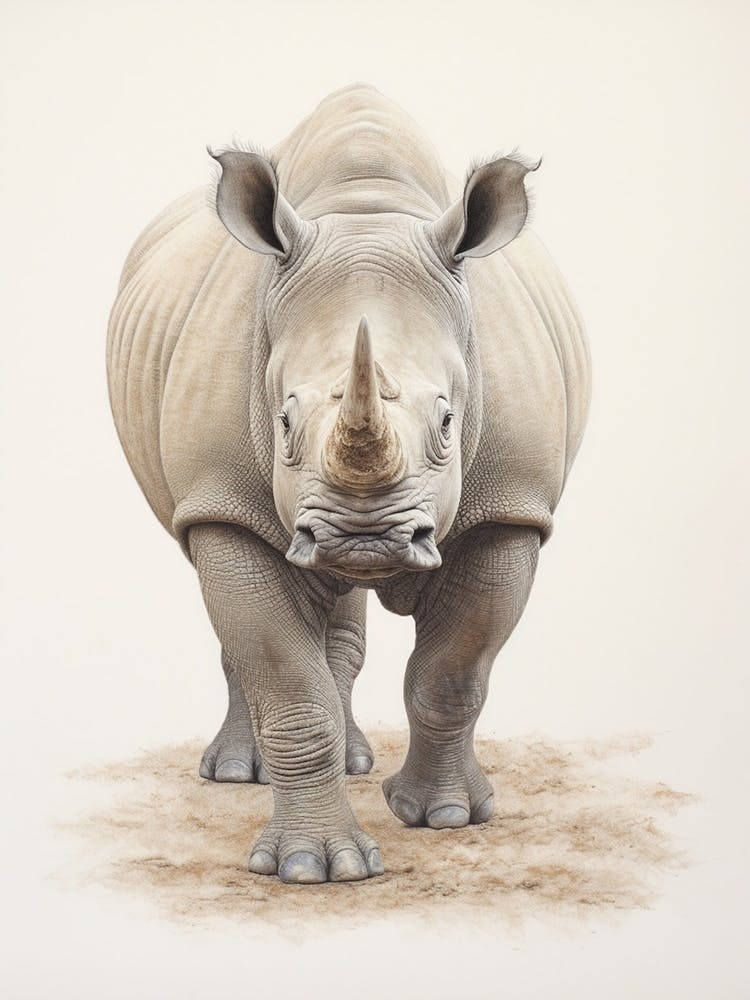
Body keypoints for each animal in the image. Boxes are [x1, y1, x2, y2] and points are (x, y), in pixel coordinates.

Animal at [107, 84, 591, 885]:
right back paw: (239, 774)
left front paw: (444, 816)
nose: (364, 537)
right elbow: (285, 682)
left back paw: (363, 765)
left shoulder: (511, 509)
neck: (366, 211)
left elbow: (455, 672)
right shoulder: (223, 504)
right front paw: (313, 868)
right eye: (283, 421)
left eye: (449, 420)